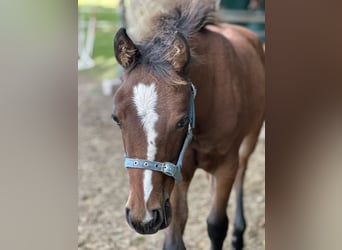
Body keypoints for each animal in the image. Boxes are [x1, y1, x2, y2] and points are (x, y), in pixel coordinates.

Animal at [112, 0, 264, 249]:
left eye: (182, 120)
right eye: (116, 118)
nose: (143, 217)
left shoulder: (226, 166)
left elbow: (216, 225)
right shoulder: (177, 170)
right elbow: (174, 237)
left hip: (250, 138)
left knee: (242, 171)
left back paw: (238, 235)